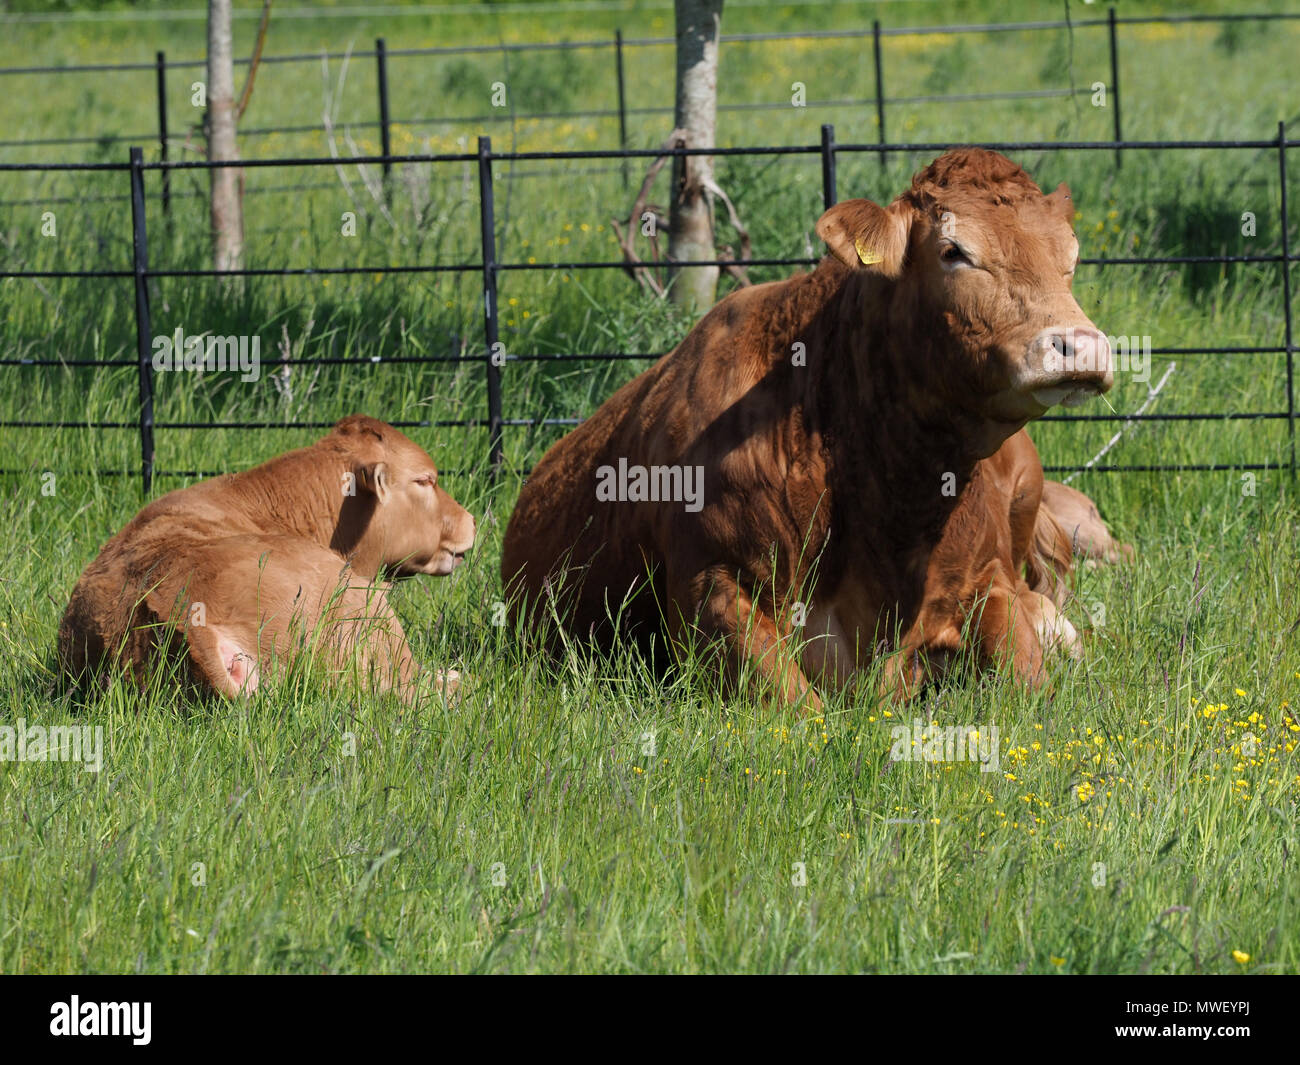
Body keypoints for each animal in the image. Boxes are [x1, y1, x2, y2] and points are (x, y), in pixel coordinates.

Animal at [501, 149, 1120, 709]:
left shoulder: (986, 577)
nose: (1081, 345)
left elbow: (1029, 683)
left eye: (1070, 256)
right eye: (953, 251)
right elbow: (801, 710)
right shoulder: (712, 590)